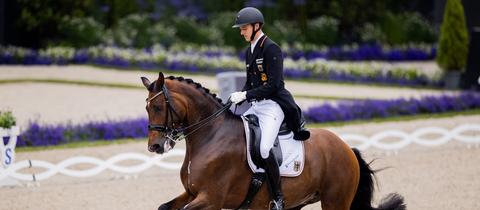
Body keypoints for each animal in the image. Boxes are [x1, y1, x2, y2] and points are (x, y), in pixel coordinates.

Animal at [140, 72, 404, 210]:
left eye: (157, 106)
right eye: (146, 108)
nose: (155, 146)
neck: (210, 136)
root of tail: (346, 148)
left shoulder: (211, 200)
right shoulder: (192, 193)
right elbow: (164, 207)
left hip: (335, 201)